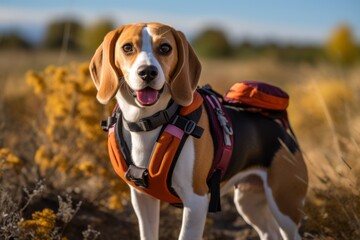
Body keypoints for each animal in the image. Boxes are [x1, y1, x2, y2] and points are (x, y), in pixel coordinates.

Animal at [88, 22, 308, 240]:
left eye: (165, 48)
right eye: (127, 48)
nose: (148, 72)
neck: (149, 121)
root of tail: (284, 133)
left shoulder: (196, 201)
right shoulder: (142, 198)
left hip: (285, 207)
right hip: (248, 202)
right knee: (270, 232)